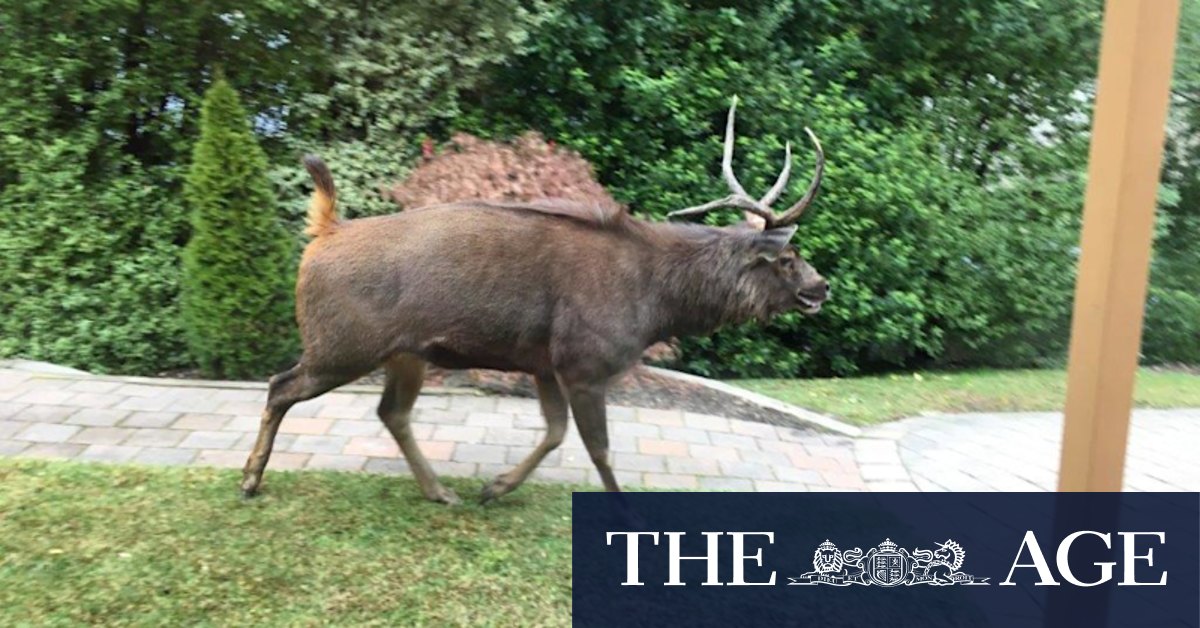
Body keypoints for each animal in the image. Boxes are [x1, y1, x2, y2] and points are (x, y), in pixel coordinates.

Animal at [240, 97, 830, 504]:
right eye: (786, 257)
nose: (821, 286)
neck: (655, 305)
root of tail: (323, 233)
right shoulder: (585, 360)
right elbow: (598, 448)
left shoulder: (546, 362)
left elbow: (553, 432)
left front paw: (495, 488)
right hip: (342, 342)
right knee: (280, 385)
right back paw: (250, 479)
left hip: (403, 351)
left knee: (390, 412)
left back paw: (440, 491)